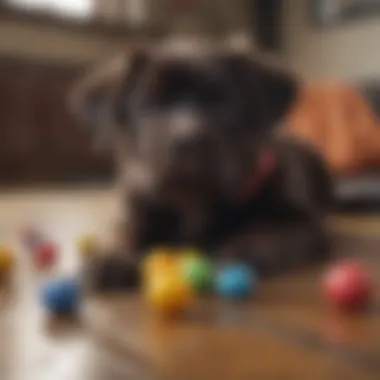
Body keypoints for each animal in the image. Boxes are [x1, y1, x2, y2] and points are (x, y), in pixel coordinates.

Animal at [69, 35, 332, 290]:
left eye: (221, 102)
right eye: (151, 102)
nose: (187, 141)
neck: (194, 202)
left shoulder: (304, 222)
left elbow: (265, 233)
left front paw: (237, 252)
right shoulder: (135, 206)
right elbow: (123, 230)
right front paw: (113, 255)